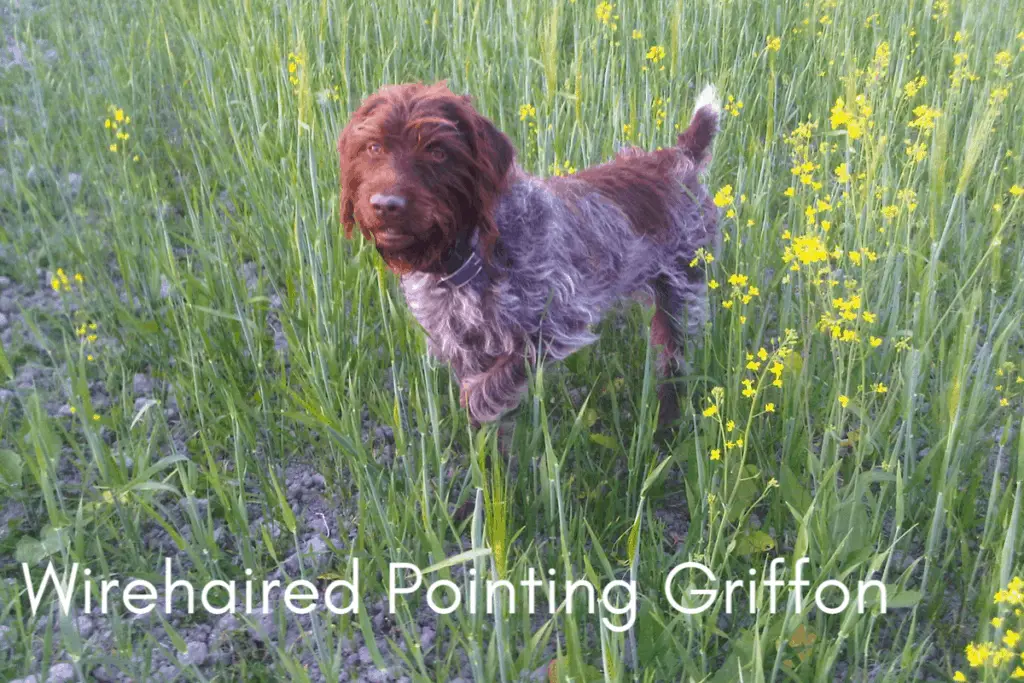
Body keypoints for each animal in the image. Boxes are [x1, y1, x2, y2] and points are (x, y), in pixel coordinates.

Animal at [337, 80, 720, 423]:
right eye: (374, 147)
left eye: (438, 151)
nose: (386, 205)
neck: (470, 255)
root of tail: (678, 158)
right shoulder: (461, 345)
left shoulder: (557, 321)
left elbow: (492, 383)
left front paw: (480, 401)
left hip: (682, 299)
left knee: (674, 367)